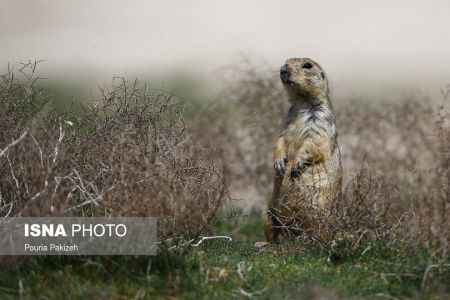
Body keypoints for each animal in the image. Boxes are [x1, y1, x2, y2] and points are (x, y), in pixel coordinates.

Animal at [264, 57, 342, 243]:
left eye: (307, 65)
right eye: (286, 61)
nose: (283, 69)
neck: (302, 102)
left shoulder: (321, 119)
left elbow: (314, 143)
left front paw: (296, 163)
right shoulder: (286, 120)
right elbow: (280, 139)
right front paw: (279, 162)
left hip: (316, 214)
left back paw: (306, 238)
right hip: (269, 214)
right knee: (274, 235)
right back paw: (263, 242)